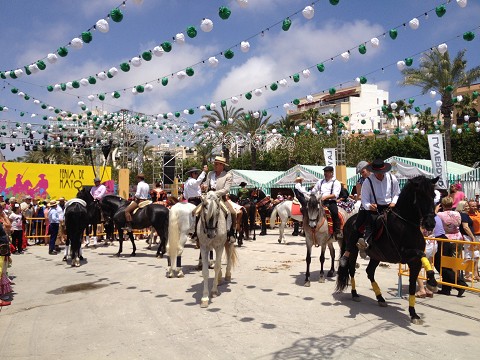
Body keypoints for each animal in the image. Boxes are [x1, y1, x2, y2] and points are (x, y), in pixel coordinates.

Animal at [334, 176, 438, 324]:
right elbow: (422, 254)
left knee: (370, 272)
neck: (406, 225)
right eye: (421, 196)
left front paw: (414, 313)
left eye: (433, 195)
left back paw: (380, 298)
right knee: (351, 270)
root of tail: (349, 221)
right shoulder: (402, 254)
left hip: (376, 256)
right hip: (353, 251)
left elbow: (413, 284)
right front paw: (432, 282)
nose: (430, 224)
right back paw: (355, 294)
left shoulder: (414, 262)